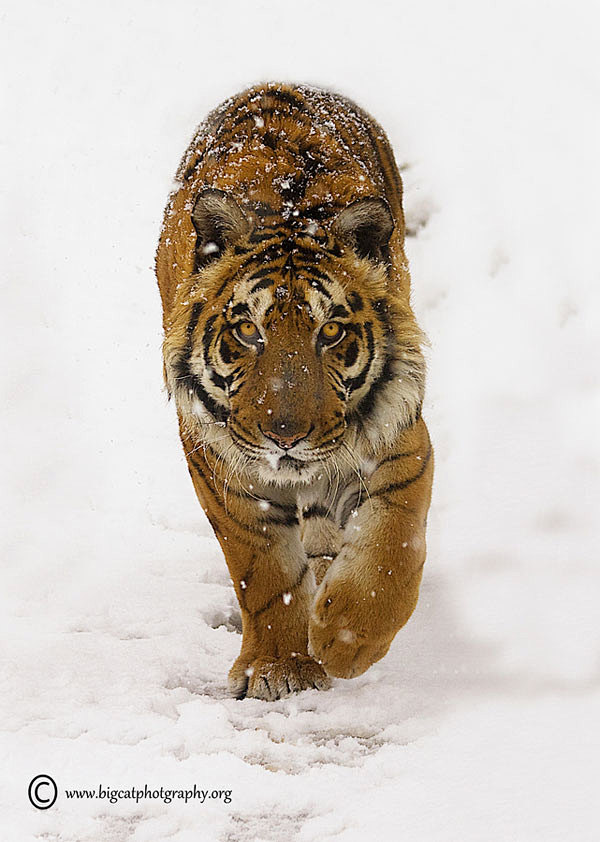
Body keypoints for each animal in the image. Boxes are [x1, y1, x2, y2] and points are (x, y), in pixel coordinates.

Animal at [155, 82, 433, 701]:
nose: (285, 435)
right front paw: (281, 664)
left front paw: (345, 640)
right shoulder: (218, 460)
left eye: (329, 332)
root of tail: (279, 83)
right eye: (247, 331)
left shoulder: (400, 436)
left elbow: (392, 544)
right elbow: (265, 570)